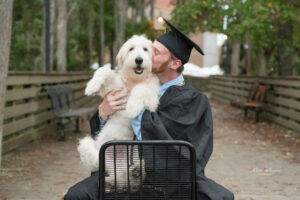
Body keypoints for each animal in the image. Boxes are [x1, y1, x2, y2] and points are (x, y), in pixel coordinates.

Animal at [78, 34, 161, 192]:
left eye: (145, 49)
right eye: (131, 49)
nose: (139, 60)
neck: (134, 79)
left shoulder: (153, 98)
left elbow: (141, 89)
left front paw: (132, 108)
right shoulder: (112, 89)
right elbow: (103, 70)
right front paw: (92, 86)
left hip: (135, 154)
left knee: (129, 179)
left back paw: (136, 171)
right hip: (88, 145)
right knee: (97, 162)